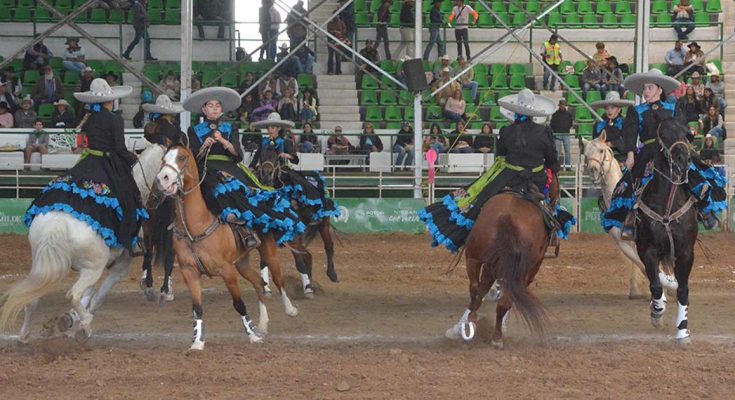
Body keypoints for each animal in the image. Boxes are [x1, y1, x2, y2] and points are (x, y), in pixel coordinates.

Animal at [0, 142, 165, 342]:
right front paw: (78, 323)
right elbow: (97, 297)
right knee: (73, 294)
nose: (159, 198)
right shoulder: (118, 267)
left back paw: (24, 334)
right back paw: (85, 323)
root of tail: (57, 224)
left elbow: (90, 294)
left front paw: (68, 320)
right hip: (93, 269)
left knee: (32, 297)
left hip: (44, 264)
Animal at [157, 144, 300, 350]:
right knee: (259, 283)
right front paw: (197, 341)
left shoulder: (227, 271)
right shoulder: (189, 271)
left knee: (277, 280)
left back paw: (290, 309)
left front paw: (252, 335)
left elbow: (238, 304)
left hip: (268, 252)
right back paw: (262, 324)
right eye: (163, 158)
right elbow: (197, 308)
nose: (163, 178)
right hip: (242, 263)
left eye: (182, 157)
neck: (196, 226)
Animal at [250, 145, 336, 298]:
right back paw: (309, 283)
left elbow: (299, 262)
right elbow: (264, 261)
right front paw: (266, 289)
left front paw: (308, 289)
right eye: (260, 156)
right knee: (308, 255)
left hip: (323, 224)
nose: (266, 175)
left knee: (328, 247)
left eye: (277, 158)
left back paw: (331, 275)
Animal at [580, 134, 680, 296]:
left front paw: (667, 289)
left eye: (601, 150)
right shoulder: (623, 244)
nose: (593, 170)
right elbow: (643, 267)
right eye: (586, 154)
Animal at [636, 118, 700, 344]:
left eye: (686, 133)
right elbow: (655, 286)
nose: (683, 159)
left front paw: (683, 330)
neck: (668, 204)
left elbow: (683, 290)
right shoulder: (649, 251)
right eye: (664, 134)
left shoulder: (686, 252)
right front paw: (657, 312)